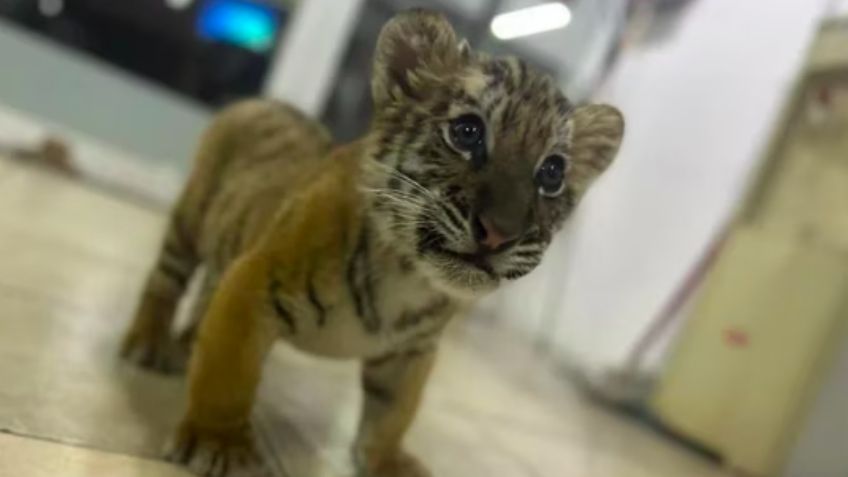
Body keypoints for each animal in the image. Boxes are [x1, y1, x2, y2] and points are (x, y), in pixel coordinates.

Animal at [120, 9, 624, 477]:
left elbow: (394, 412)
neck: (409, 274)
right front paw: (218, 442)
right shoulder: (253, 284)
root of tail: (266, 101)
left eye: (552, 173)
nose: (500, 232)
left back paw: (185, 347)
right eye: (467, 132)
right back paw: (149, 345)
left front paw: (388, 461)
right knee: (165, 282)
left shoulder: (412, 350)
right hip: (189, 224)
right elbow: (229, 373)